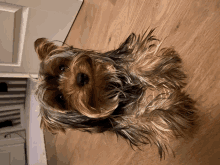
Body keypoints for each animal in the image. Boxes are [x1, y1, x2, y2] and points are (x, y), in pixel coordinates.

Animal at [34, 29, 198, 159]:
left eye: (62, 67)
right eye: (60, 98)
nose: (80, 78)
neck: (102, 86)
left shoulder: (120, 62)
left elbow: (137, 64)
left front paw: (166, 68)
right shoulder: (122, 121)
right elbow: (146, 119)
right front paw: (177, 109)